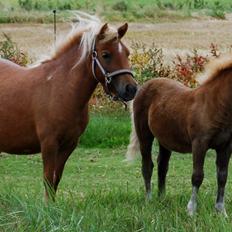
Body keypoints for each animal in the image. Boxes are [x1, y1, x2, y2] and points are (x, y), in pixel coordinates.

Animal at [127, 55, 232, 217]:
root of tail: (143, 87)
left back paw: (162, 198)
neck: (215, 105)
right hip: (144, 135)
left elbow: (222, 177)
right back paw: (149, 200)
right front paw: (191, 210)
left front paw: (221, 212)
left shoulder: (225, 147)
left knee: (162, 166)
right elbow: (197, 176)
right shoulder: (199, 144)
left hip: (164, 140)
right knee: (147, 166)